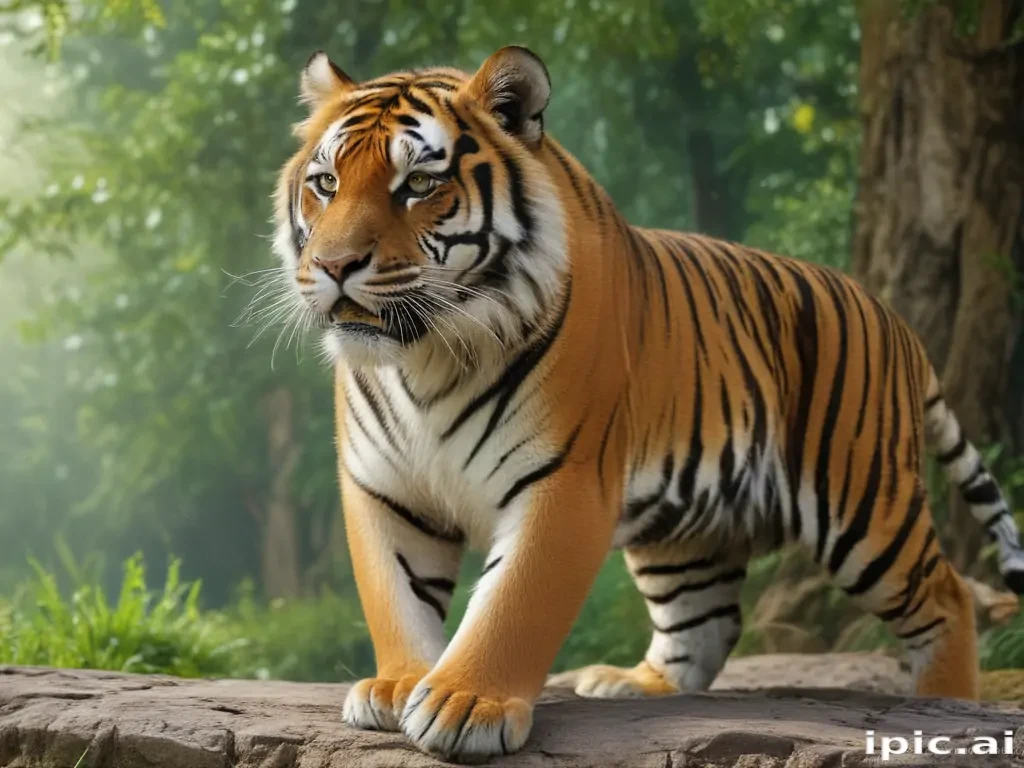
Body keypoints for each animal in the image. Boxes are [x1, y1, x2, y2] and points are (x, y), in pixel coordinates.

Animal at [270, 45, 1024, 762]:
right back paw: (631, 684)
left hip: (862, 502)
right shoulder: (385, 488)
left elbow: (514, 601)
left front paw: (465, 705)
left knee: (950, 594)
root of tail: (897, 321)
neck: (427, 359)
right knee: (708, 623)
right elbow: (395, 596)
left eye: (420, 184)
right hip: (685, 532)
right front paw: (398, 685)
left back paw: (948, 706)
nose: (334, 266)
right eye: (326, 184)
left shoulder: (563, 482)